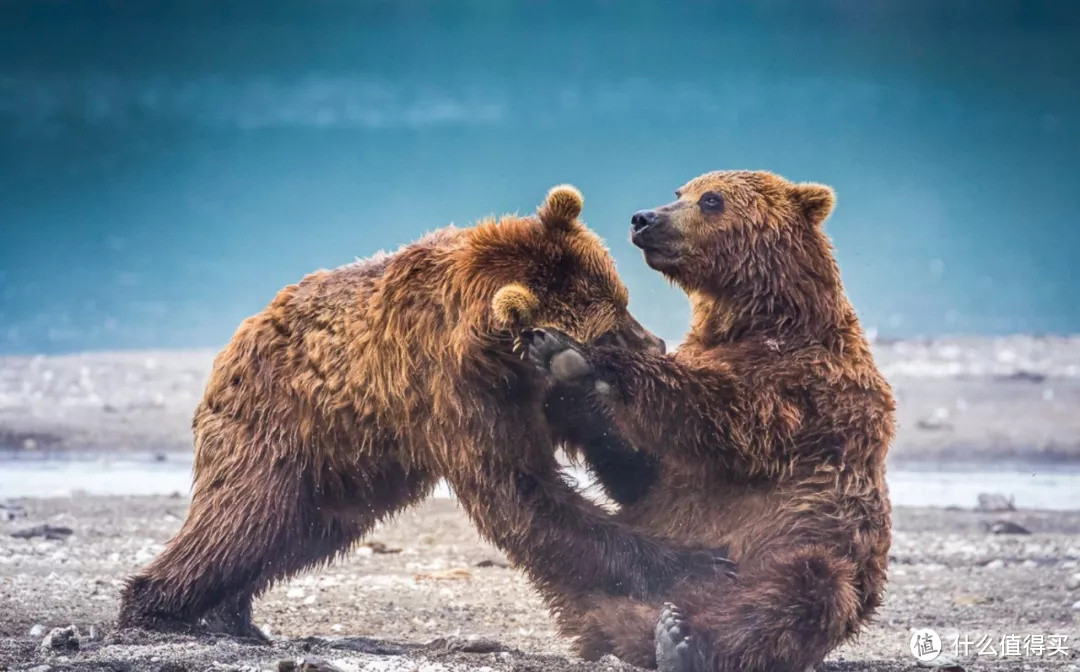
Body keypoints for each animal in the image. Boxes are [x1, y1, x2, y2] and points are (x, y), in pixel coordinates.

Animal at [118, 186, 721, 639]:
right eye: (612, 323)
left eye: (622, 302)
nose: (657, 343)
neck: (502, 355)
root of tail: (233, 344)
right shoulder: (459, 394)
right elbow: (522, 498)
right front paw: (696, 562)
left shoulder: (540, 393)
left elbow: (613, 446)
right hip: (279, 427)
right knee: (243, 519)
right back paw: (158, 609)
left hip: (344, 468)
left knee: (294, 532)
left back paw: (230, 615)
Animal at [529, 172, 894, 672]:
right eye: (679, 192)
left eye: (711, 199)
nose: (644, 218)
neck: (762, 318)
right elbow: (643, 467)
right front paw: (559, 363)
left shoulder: (805, 390)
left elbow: (719, 414)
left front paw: (589, 355)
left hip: (816, 549)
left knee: (802, 590)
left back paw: (683, 639)